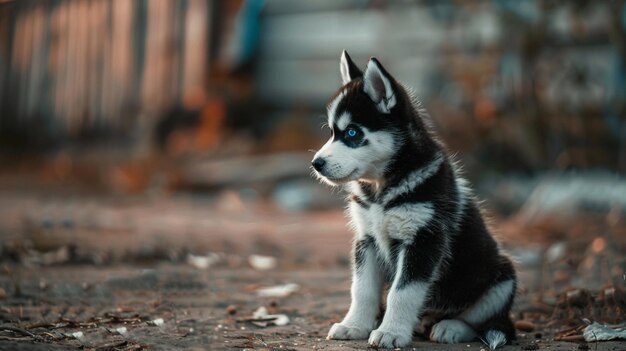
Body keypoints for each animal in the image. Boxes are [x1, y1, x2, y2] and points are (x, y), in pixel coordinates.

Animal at [310, 51, 516, 350]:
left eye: (352, 133)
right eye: (332, 132)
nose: (316, 163)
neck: (381, 192)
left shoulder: (423, 240)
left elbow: (402, 292)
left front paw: (391, 332)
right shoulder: (367, 240)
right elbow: (362, 289)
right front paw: (354, 325)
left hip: (502, 278)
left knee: (480, 320)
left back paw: (451, 328)